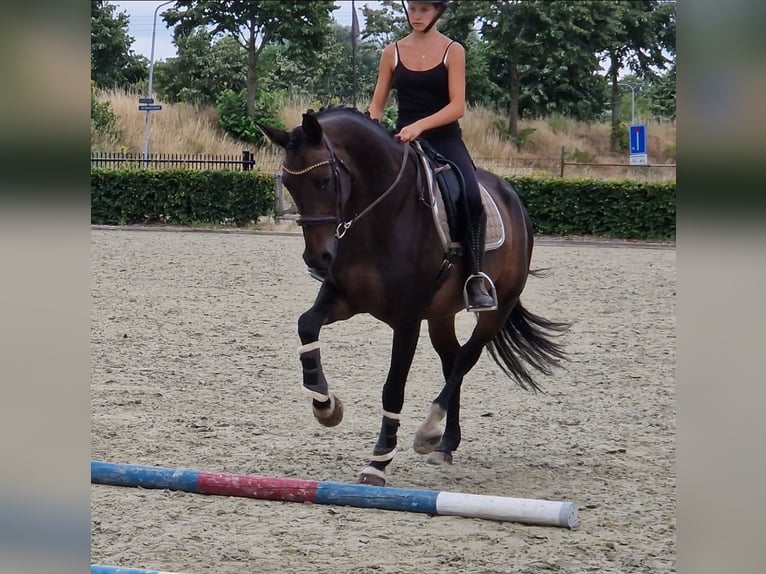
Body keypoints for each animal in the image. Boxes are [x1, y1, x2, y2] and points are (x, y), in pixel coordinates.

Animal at [259, 105, 569, 487]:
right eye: (288, 185)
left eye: (323, 181)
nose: (317, 259)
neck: (380, 216)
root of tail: (514, 200)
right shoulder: (343, 297)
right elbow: (306, 326)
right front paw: (325, 405)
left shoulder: (406, 320)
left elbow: (393, 388)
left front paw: (378, 461)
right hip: (441, 314)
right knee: (452, 359)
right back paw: (446, 443)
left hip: (498, 307)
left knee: (466, 358)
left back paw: (429, 430)